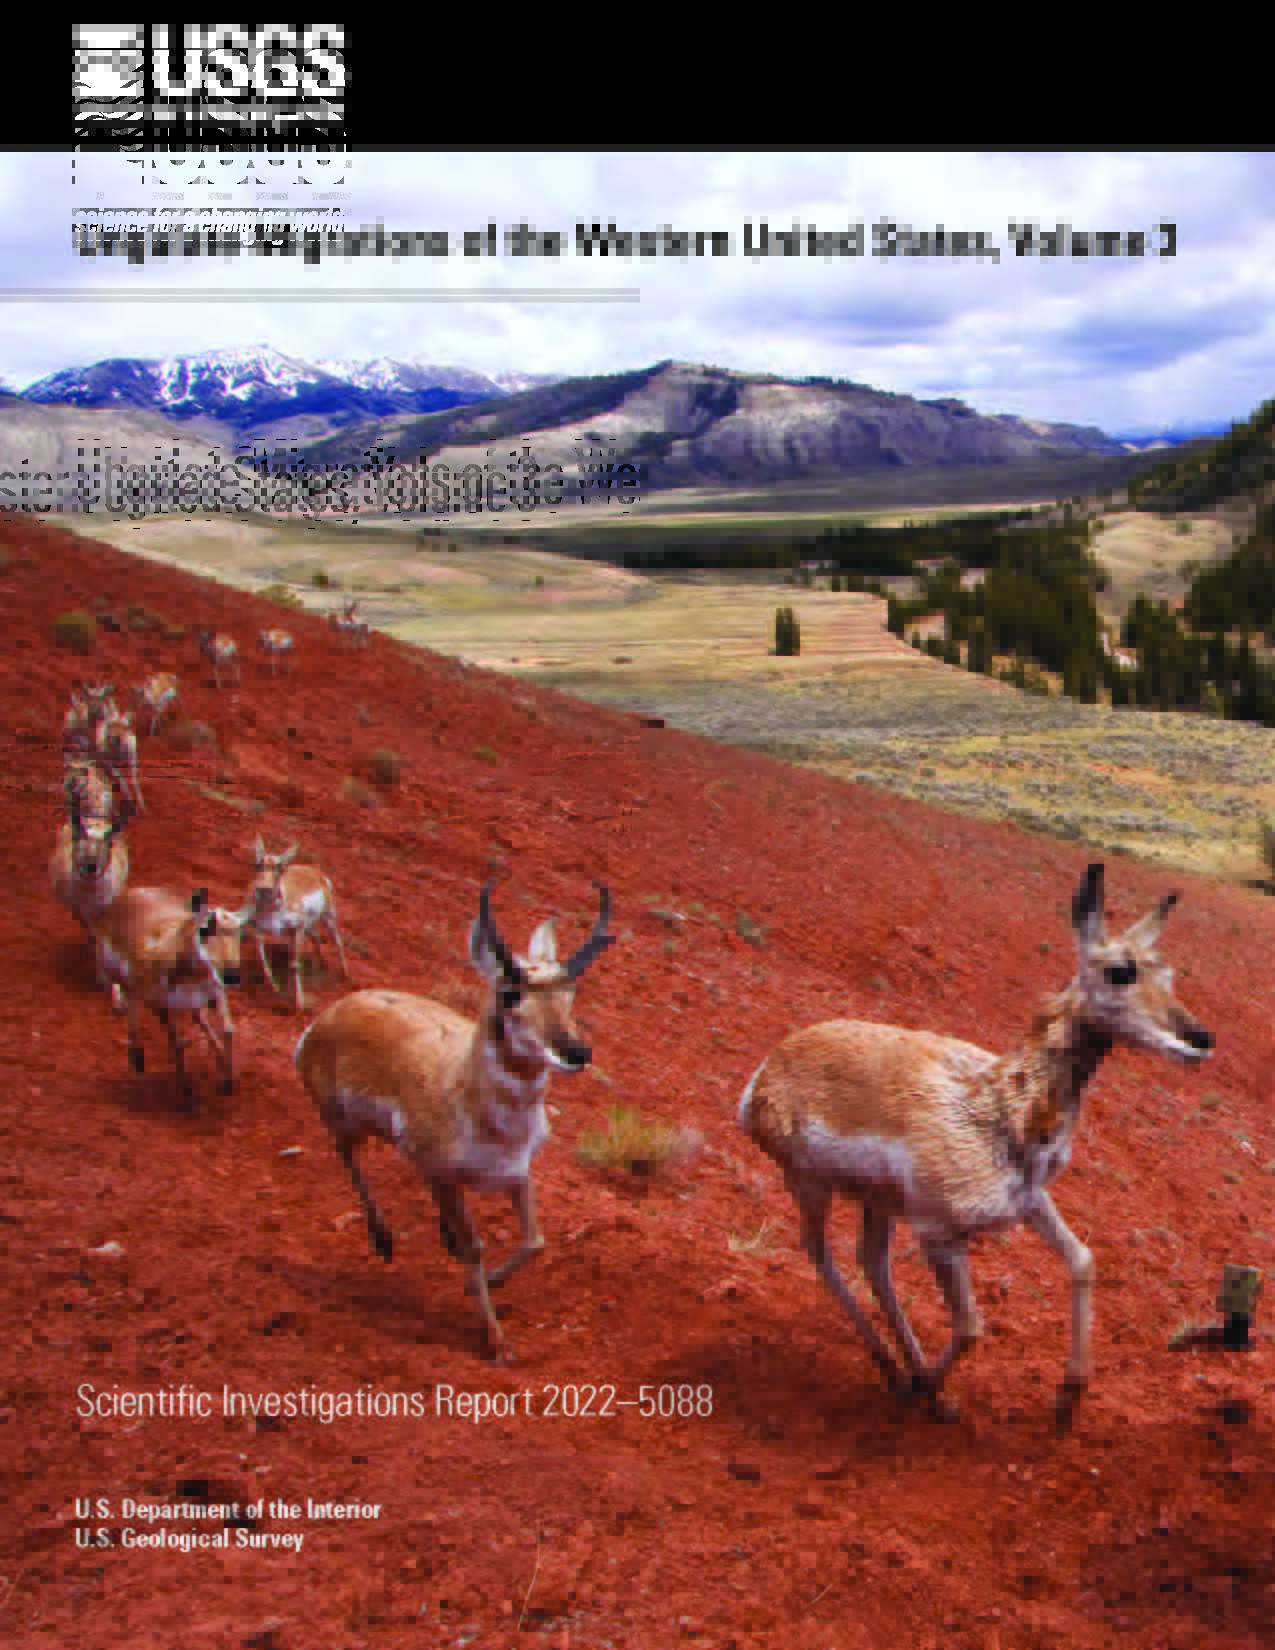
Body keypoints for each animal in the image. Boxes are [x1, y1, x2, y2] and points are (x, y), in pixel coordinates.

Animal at [92, 886, 245, 1100]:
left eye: (240, 933)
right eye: (204, 929)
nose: (232, 976)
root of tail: (129, 894)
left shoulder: (215, 993)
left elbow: (228, 1029)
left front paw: (228, 1081)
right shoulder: (166, 1004)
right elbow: (176, 1044)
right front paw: (187, 1095)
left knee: (197, 1017)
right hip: (124, 981)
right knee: (129, 1004)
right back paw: (137, 1057)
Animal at [243, 836, 351, 1012]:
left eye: (280, 868)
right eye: (257, 865)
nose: (263, 890)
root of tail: (317, 873)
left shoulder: (296, 930)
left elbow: (294, 965)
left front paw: (299, 1004)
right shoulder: (258, 930)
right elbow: (263, 960)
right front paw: (275, 990)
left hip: (327, 916)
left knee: (337, 941)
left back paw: (345, 975)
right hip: (309, 926)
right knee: (316, 937)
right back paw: (321, 965)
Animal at [294, 878, 615, 1360]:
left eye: (570, 992)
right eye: (510, 993)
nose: (577, 1052)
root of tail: (331, 1015)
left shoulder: (517, 1173)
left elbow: (534, 1242)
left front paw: (481, 1288)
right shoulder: (448, 1174)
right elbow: (475, 1247)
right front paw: (496, 1342)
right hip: (344, 1123)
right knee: (348, 1158)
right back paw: (383, 1241)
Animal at [737, 863, 1213, 1433]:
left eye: (1169, 975)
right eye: (1121, 971)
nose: (1200, 1039)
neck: (1000, 1105)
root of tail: (771, 1065)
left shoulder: (1030, 1201)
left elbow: (1082, 1260)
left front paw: (1068, 1397)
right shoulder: (941, 1236)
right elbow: (970, 1326)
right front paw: (930, 1388)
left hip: (877, 1202)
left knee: (872, 1262)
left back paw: (911, 1375)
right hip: (809, 1184)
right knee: (821, 1254)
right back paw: (900, 1374)